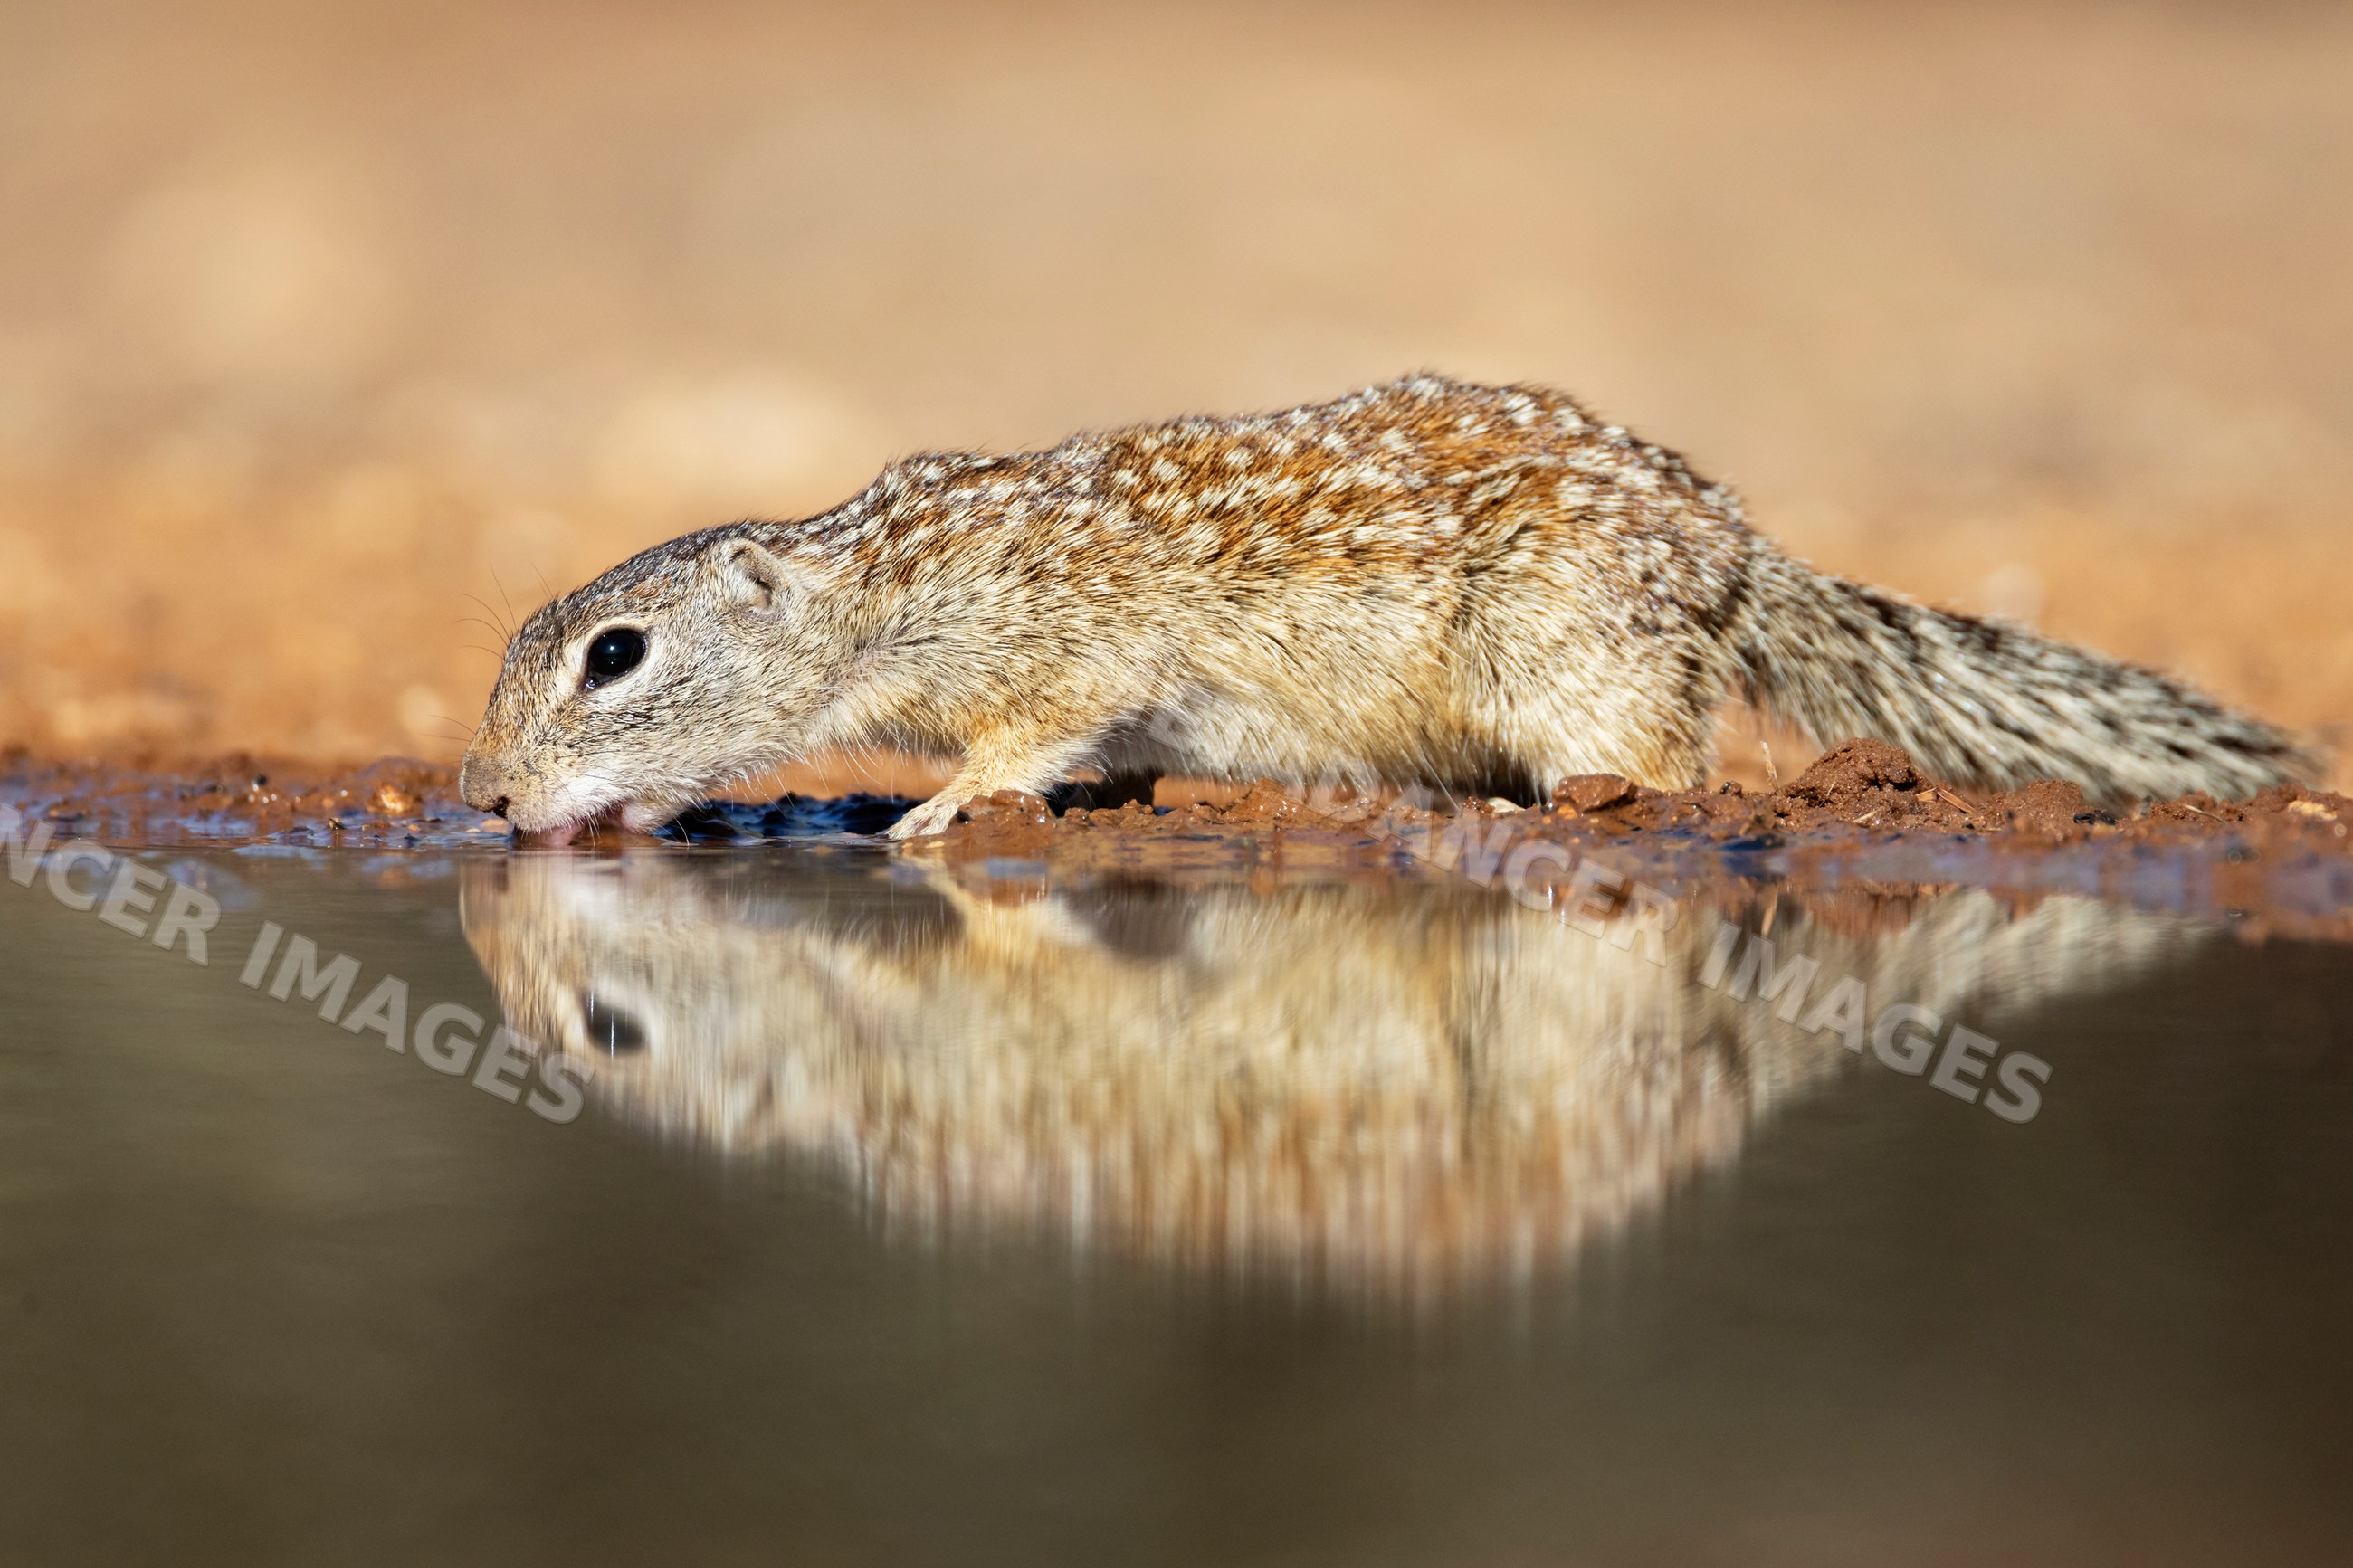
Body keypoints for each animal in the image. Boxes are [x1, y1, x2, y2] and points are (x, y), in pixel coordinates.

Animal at [460, 374, 2312, 843]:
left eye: (616, 656)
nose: (485, 798)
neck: (875, 589)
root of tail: (1742, 551)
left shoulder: (1060, 640)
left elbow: (1031, 733)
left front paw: (940, 811)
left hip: (1568, 657)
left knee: (1674, 767)